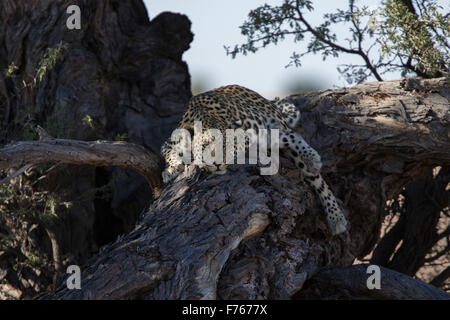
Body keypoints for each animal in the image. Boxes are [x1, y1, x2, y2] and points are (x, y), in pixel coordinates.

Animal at [161, 85, 348, 235]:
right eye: (205, 145)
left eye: (227, 147)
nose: (217, 164)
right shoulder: (171, 141)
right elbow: (168, 152)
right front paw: (171, 170)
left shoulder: (255, 133)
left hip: (267, 125)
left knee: (297, 147)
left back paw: (335, 215)